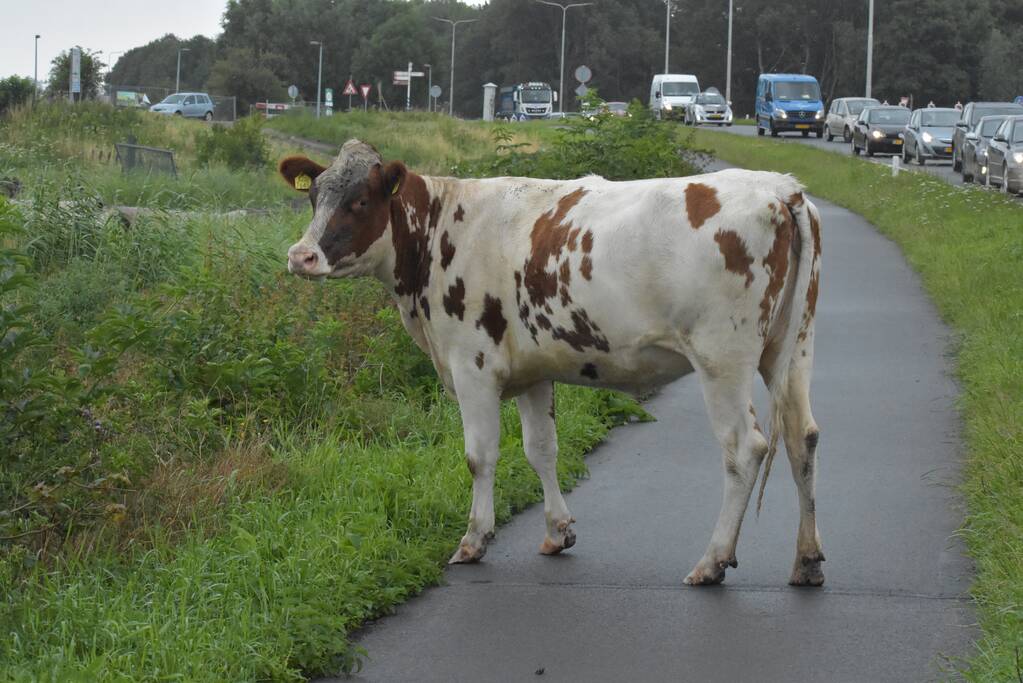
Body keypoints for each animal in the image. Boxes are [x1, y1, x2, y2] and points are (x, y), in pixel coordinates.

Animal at [279, 139, 824, 586]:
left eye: (359, 201)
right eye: (314, 197)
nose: (300, 256)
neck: (440, 228)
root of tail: (780, 189)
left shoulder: (473, 366)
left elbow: (480, 456)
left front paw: (474, 540)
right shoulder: (533, 370)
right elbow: (541, 449)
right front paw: (558, 532)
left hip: (722, 358)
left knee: (745, 448)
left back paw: (712, 561)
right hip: (793, 346)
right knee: (803, 437)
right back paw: (807, 561)